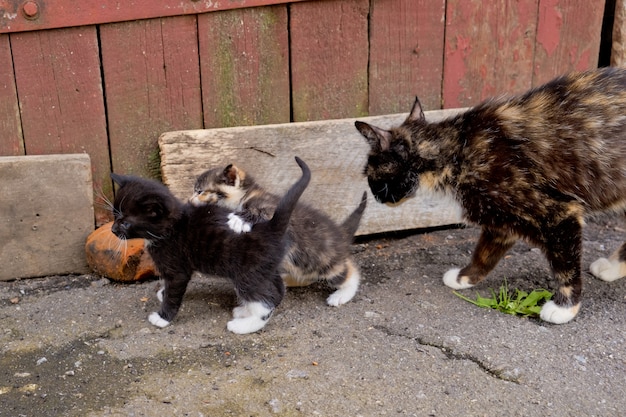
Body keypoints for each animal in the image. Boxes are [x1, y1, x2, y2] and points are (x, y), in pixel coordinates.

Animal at [111, 157, 310, 334]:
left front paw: (163, 318)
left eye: (126, 223)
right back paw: (246, 310)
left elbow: (174, 293)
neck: (171, 227)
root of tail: (269, 226)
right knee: (277, 290)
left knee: (264, 302)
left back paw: (244, 325)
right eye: (114, 216)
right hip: (264, 268)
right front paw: (163, 293)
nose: (112, 229)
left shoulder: (177, 271)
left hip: (247, 273)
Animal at [189, 163, 366, 306]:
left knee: (350, 273)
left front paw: (239, 219)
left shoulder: (273, 208)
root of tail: (341, 233)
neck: (246, 196)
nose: (190, 200)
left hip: (325, 261)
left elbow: (258, 210)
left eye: (200, 191)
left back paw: (342, 295)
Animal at [354, 66, 624, 324]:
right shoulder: (502, 219)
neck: (457, 151)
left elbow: (565, 265)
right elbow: (484, 253)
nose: (375, 197)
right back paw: (612, 267)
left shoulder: (558, 213)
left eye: (371, 178)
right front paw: (464, 277)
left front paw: (565, 307)